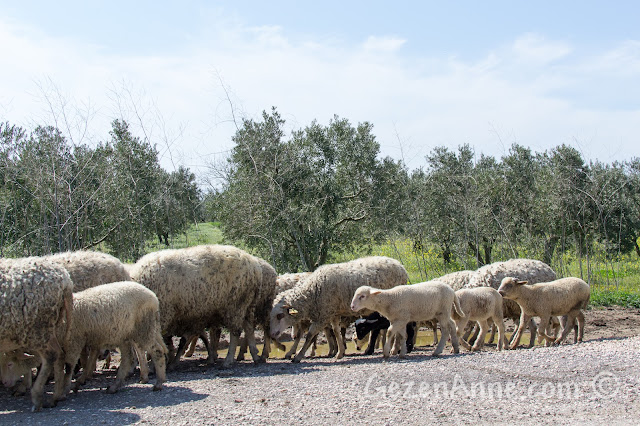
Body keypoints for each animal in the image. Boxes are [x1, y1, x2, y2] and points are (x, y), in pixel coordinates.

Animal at [0, 258, 73, 412]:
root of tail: (65, 279)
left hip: (38, 328)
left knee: (51, 355)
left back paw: (37, 397)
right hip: (50, 327)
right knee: (60, 354)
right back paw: (55, 397)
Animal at [131, 245, 264, 368]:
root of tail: (254, 266)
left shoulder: (163, 314)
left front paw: (155, 365)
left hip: (235, 304)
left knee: (235, 332)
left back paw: (229, 360)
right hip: (247, 304)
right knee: (249, 328)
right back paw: (255, 356)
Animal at [268, 256, 408, 362]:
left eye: (280, 315)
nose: (272, 334)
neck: (312, 292)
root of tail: (400, 266)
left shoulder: (323, 316)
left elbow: (309, 336)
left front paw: (298, 356)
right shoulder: (332, 313)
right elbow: (336, 332)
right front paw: (339, 353)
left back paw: (394, 349)